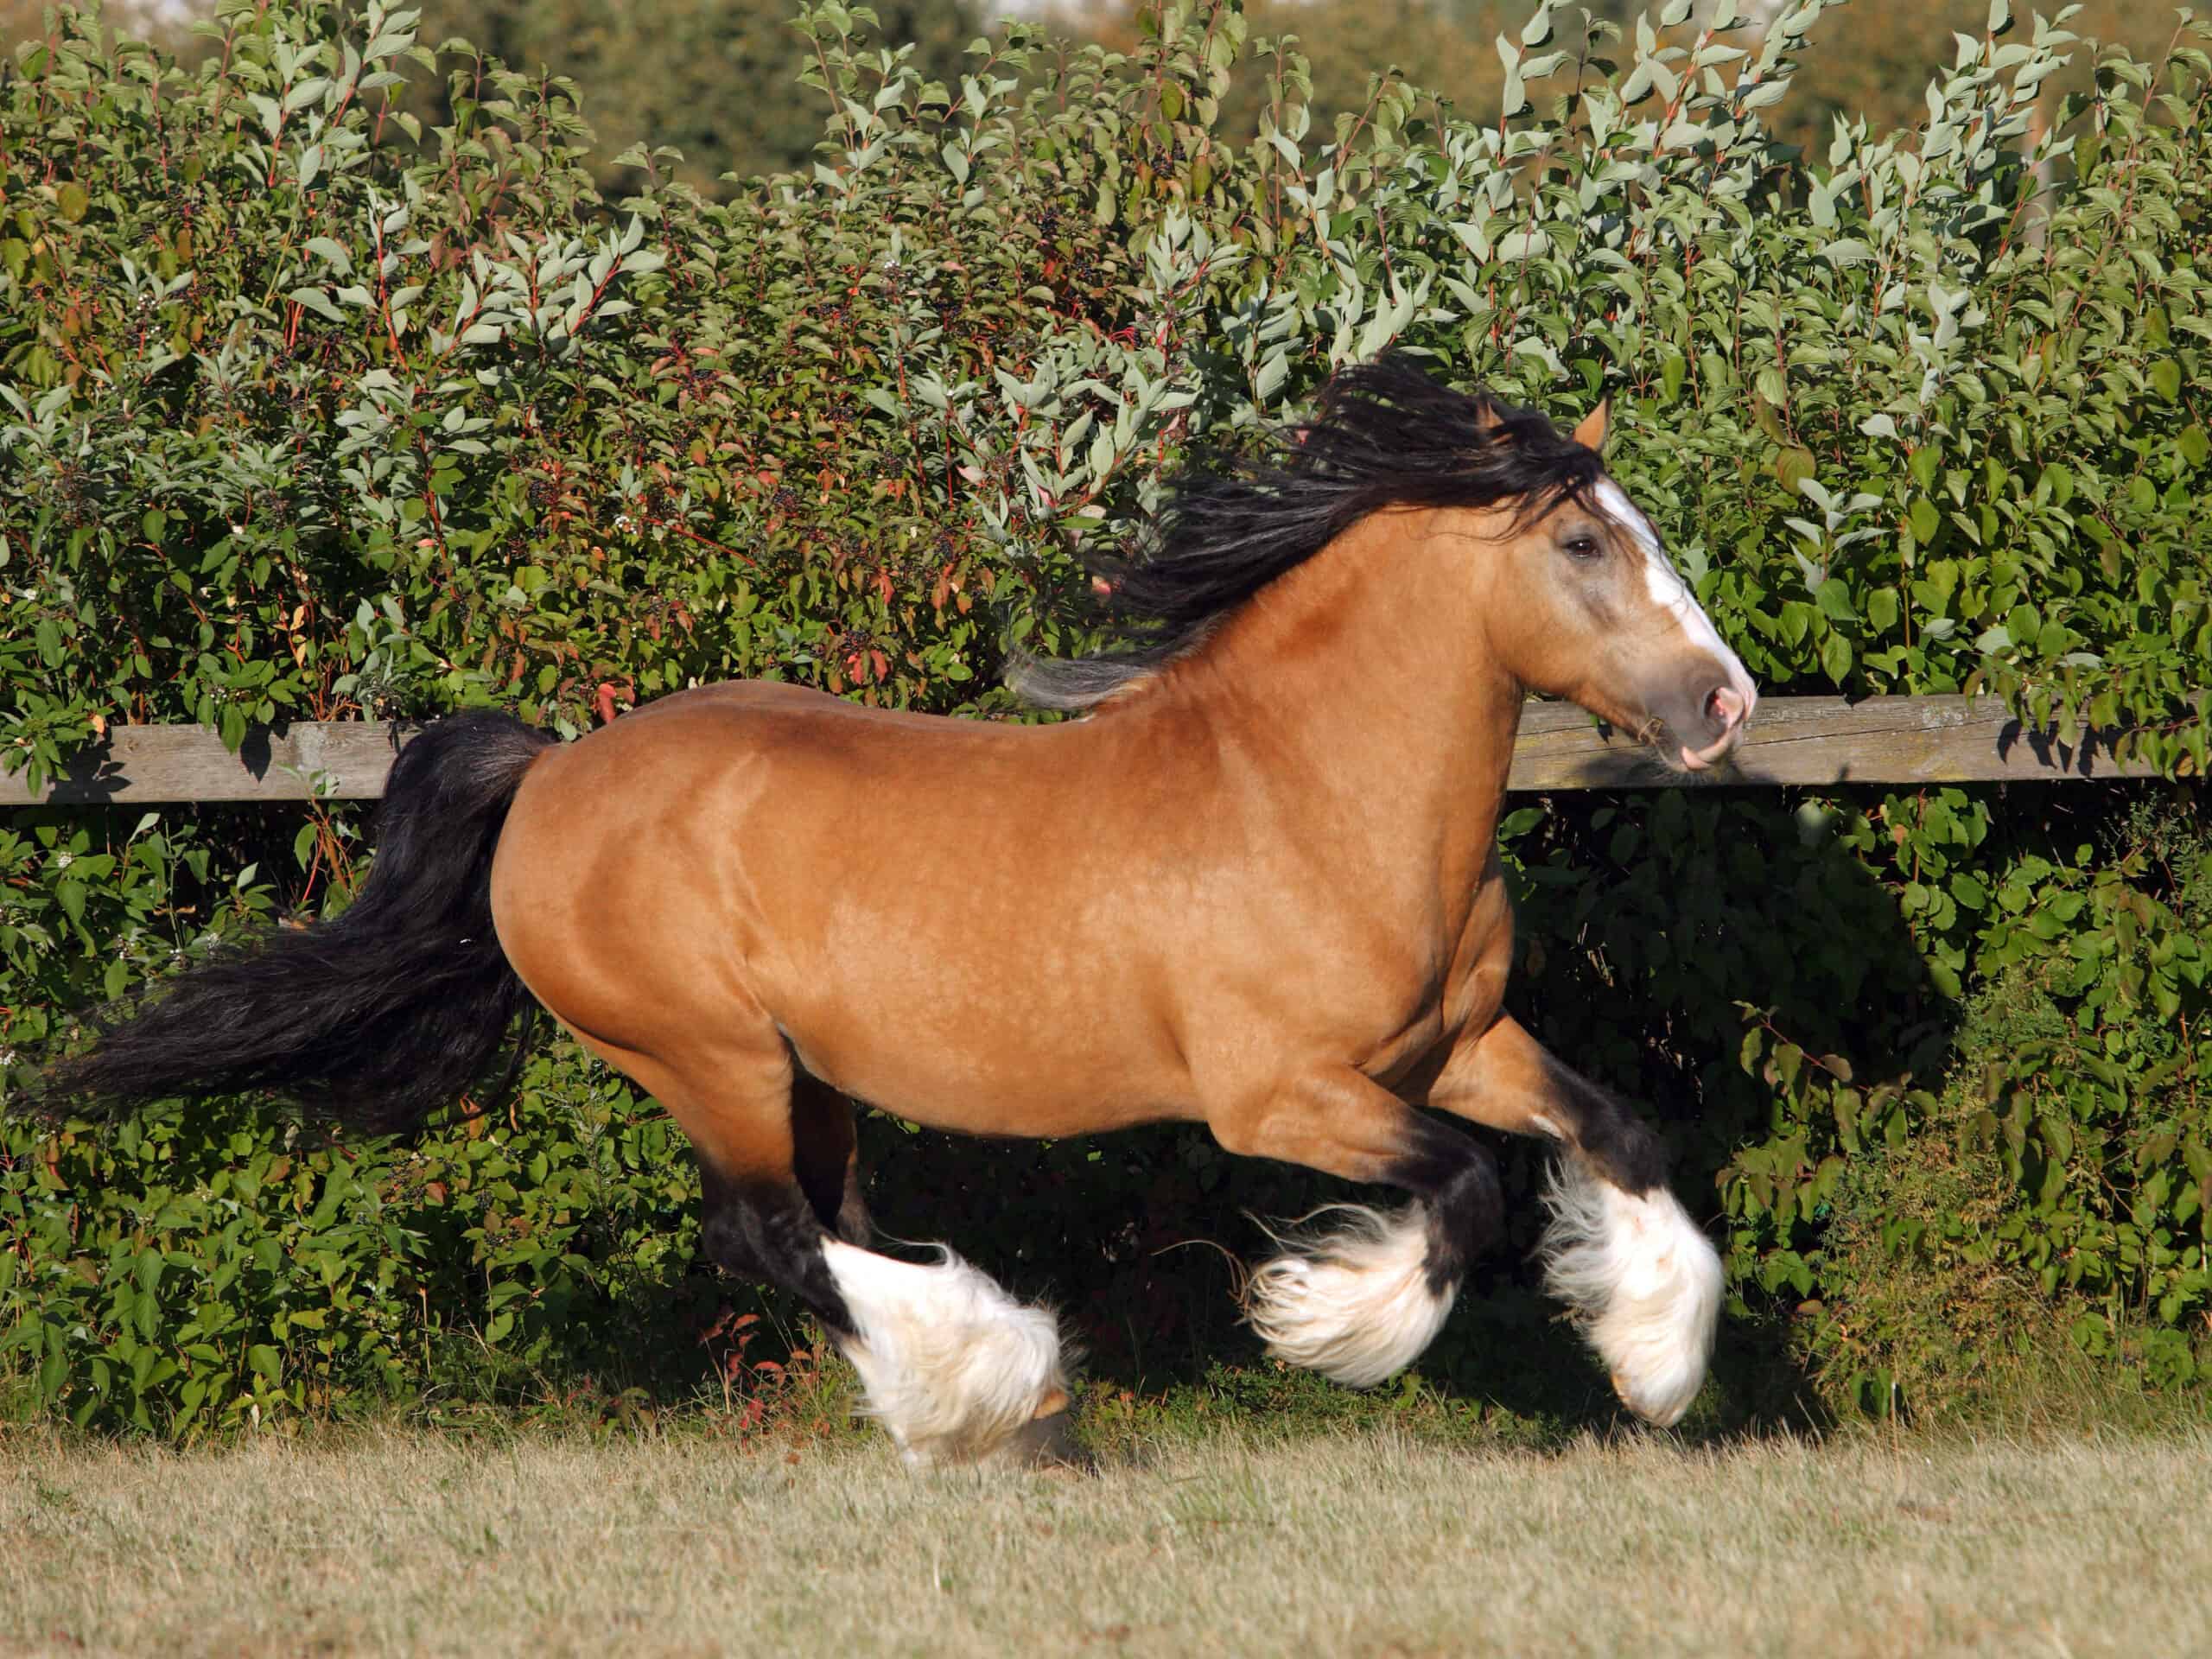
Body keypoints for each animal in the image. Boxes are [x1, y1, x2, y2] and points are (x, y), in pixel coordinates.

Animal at [42, 360, 1751, 1468]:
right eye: (1582, 541)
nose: (1724, 703)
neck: (1302, 794)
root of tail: (552, 774)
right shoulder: (1284, 1099)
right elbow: (1460, 1193)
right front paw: (1332, 1323)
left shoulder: (1457, 1046)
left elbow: (1617, 1130)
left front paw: (1656, 1369)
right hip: (705, 1056)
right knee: (767, 1235)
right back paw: (997, 1385)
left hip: (806, 1074)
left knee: (830, 1224)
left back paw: (987, 1400)